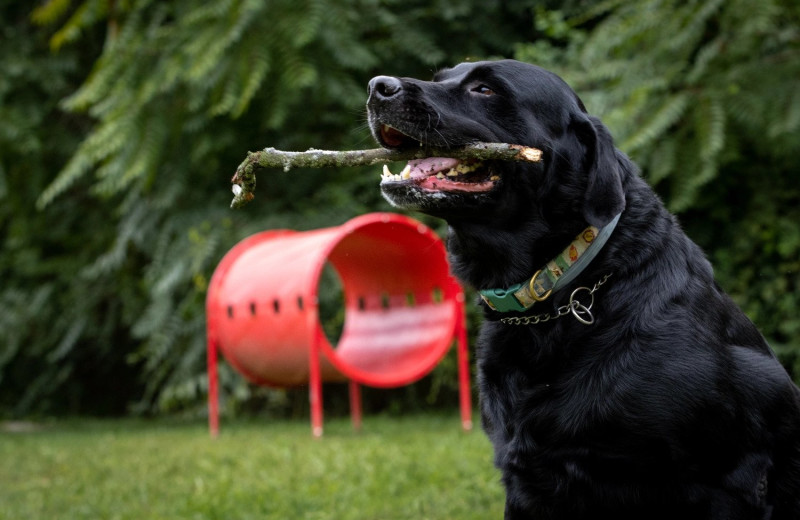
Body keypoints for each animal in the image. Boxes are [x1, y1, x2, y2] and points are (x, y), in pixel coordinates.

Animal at [366, 59, 796, 516]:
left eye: (484, 89)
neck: (561, 289)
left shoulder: (724, 485)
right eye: (441, 77)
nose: (378, 87)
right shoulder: (526, 482)